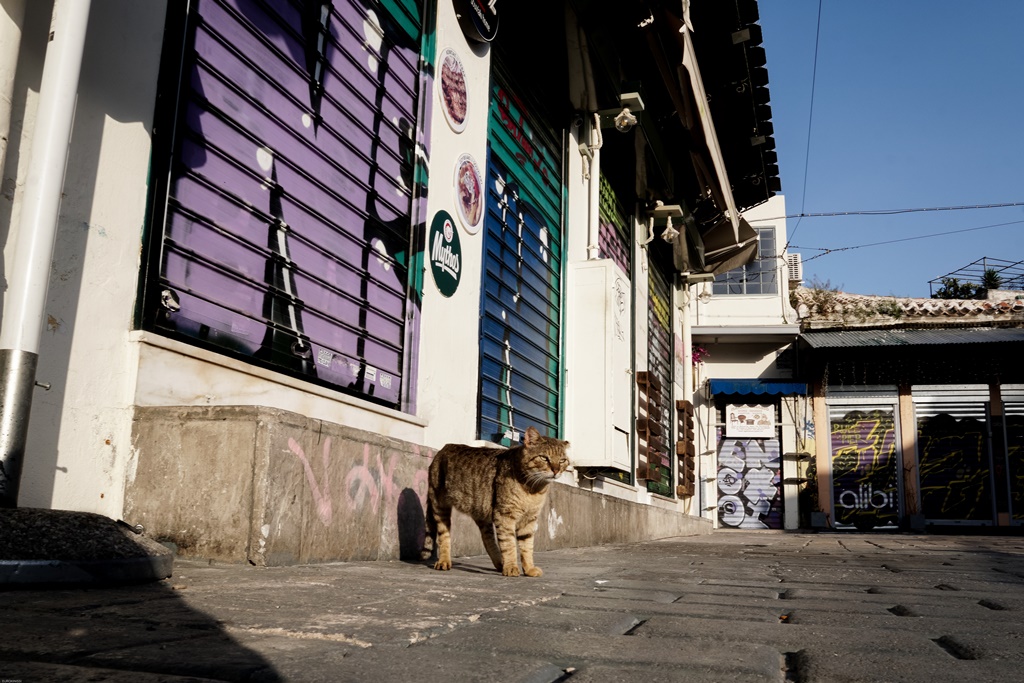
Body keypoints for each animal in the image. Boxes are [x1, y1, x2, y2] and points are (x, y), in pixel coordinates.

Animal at [419, 428, 573, 577]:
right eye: (544, 458)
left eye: (562, 460)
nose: (556, 470)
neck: (533, 489)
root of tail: (442, 449)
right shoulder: (505, 515)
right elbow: (509, 544)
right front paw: (511, 567)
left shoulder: (529, 519)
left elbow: (527, 546)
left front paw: (529, 569)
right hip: (440, 505)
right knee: (444, 535)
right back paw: (444, 561)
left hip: (481, 511)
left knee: (488, 539)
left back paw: (500, 563)